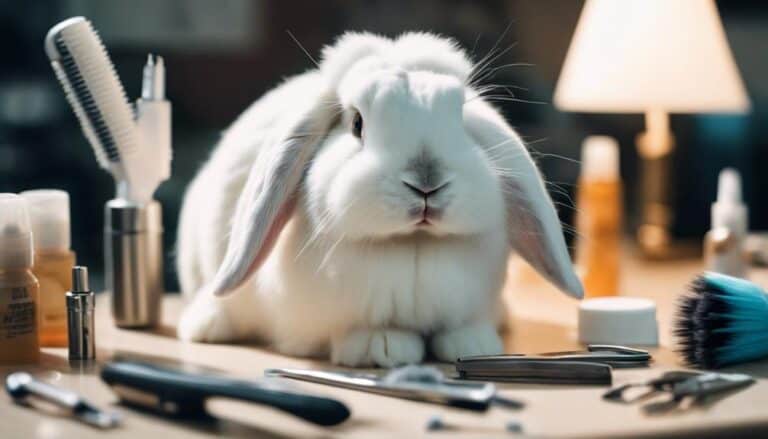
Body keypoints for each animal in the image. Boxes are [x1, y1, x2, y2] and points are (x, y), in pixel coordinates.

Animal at [176, 32, 583, 367]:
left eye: (459, 118)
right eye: (357, 124)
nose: (426, 184)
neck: (411, 246)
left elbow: (461, 329)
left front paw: (474, 345)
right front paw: (383, 348)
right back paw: (207, 324)